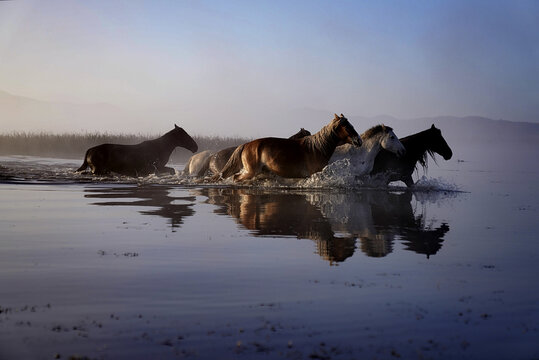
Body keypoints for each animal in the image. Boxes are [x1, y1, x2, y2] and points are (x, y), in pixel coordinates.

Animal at [216, 114, 362, 181]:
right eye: (347, 126)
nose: (359, 140)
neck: (316, 149)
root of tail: (246, 144)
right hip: (250, 172)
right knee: (236, 178)